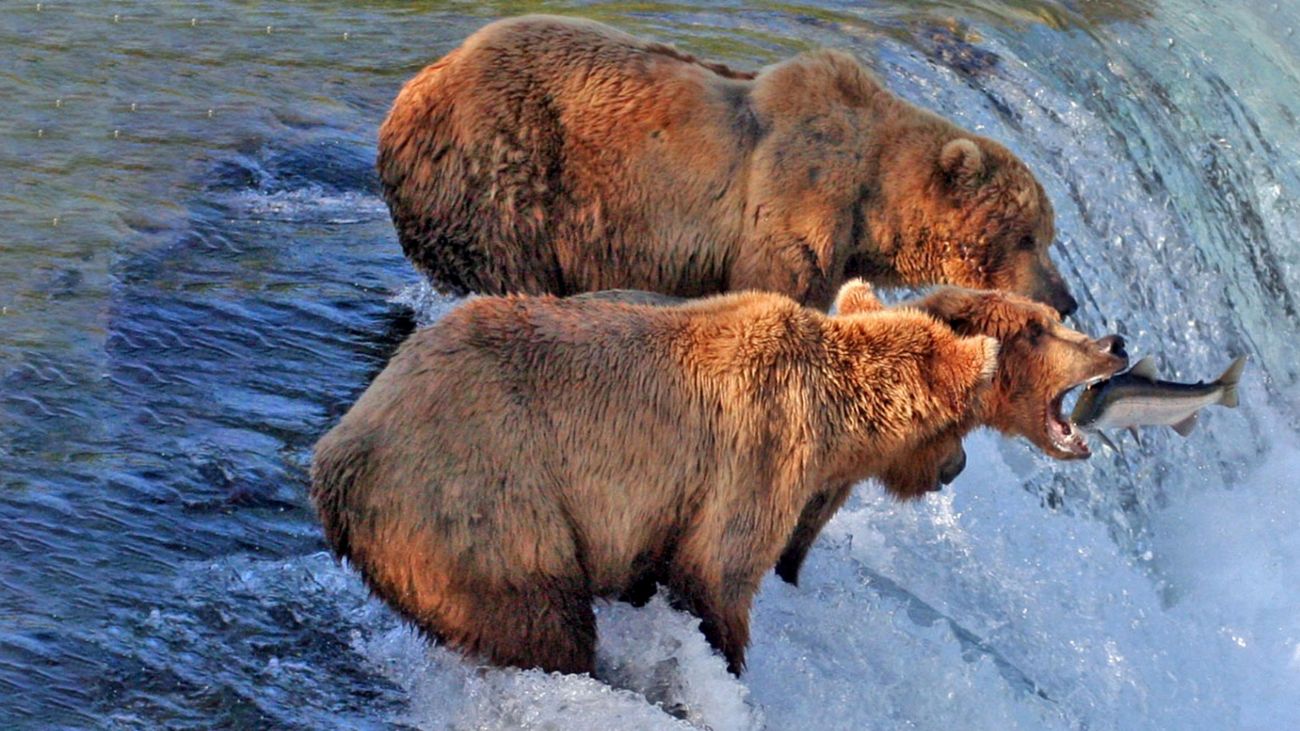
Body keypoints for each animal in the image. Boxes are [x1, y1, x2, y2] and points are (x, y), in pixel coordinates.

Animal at [311, 282, 999, 676]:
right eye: (964, 419)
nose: (957, 467)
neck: (836, 412)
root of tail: (335, 459)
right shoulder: (759, 451)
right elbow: (715, 575)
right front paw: (727, 658)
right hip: (477, 496)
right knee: (540, 618)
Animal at [377, 14, 1078, 315]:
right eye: (1026, 236)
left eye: (1046, 235)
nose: (1067, 299)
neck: (870, 205)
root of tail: (415, 87)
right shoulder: (793, 206)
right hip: (502, 169)